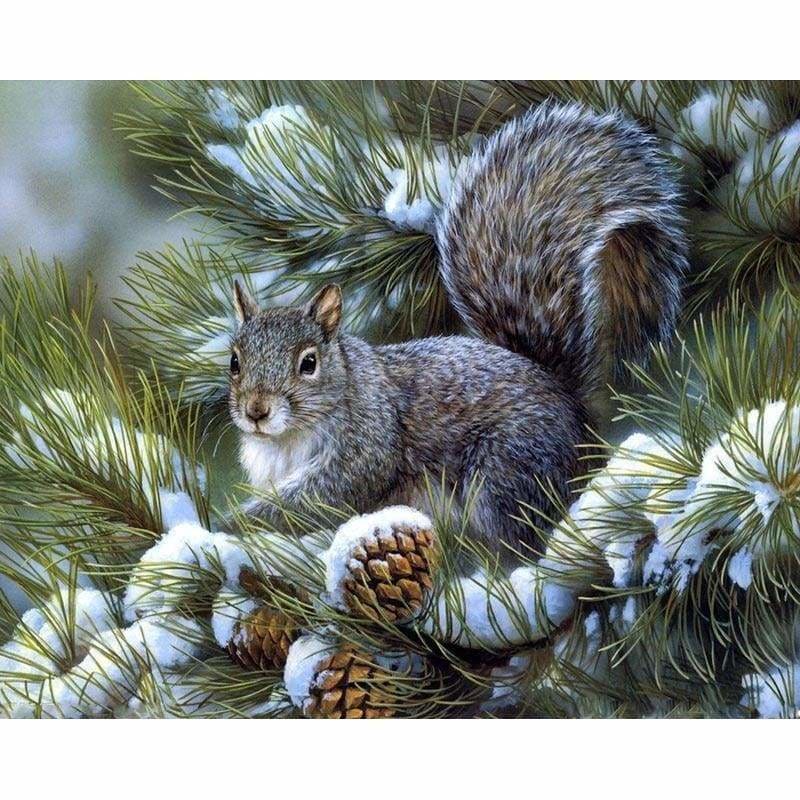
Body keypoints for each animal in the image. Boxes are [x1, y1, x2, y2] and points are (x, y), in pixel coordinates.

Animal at [227, 102, 688, 550]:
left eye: (308, 363)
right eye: (234, 362)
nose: (256, 411)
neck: (286, 439)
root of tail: (574, 413)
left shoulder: (367, 443)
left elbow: (324, 495)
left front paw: (240, 521)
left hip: (507, 468)